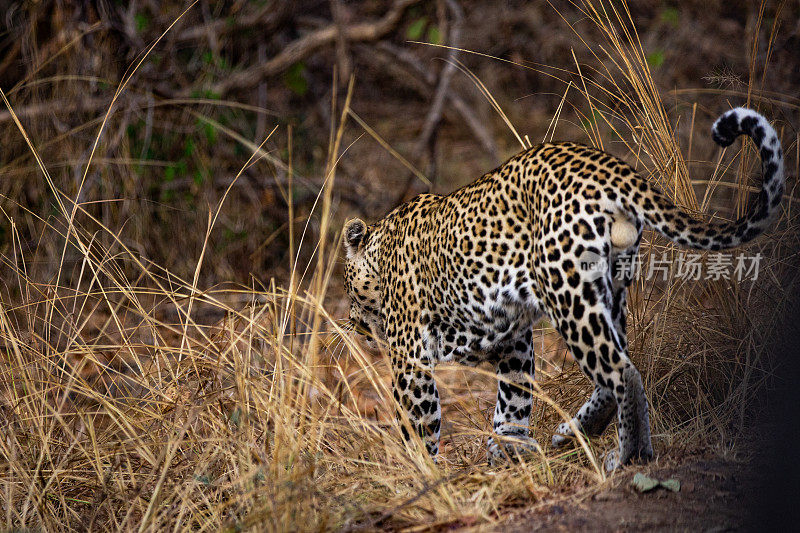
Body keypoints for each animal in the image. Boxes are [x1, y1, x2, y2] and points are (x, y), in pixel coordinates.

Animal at [340, 106, 784, 468]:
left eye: (347, 288)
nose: (352, 324)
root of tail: (606, 165)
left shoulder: (410, 356)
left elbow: (419, 420)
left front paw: (420, 474)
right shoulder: (513, 340)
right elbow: (514, 401)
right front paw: (508, 451)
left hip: (567, 291)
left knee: (623, 373)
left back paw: (625, 456)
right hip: (610, 287)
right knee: (614, 368)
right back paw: (577, 433)